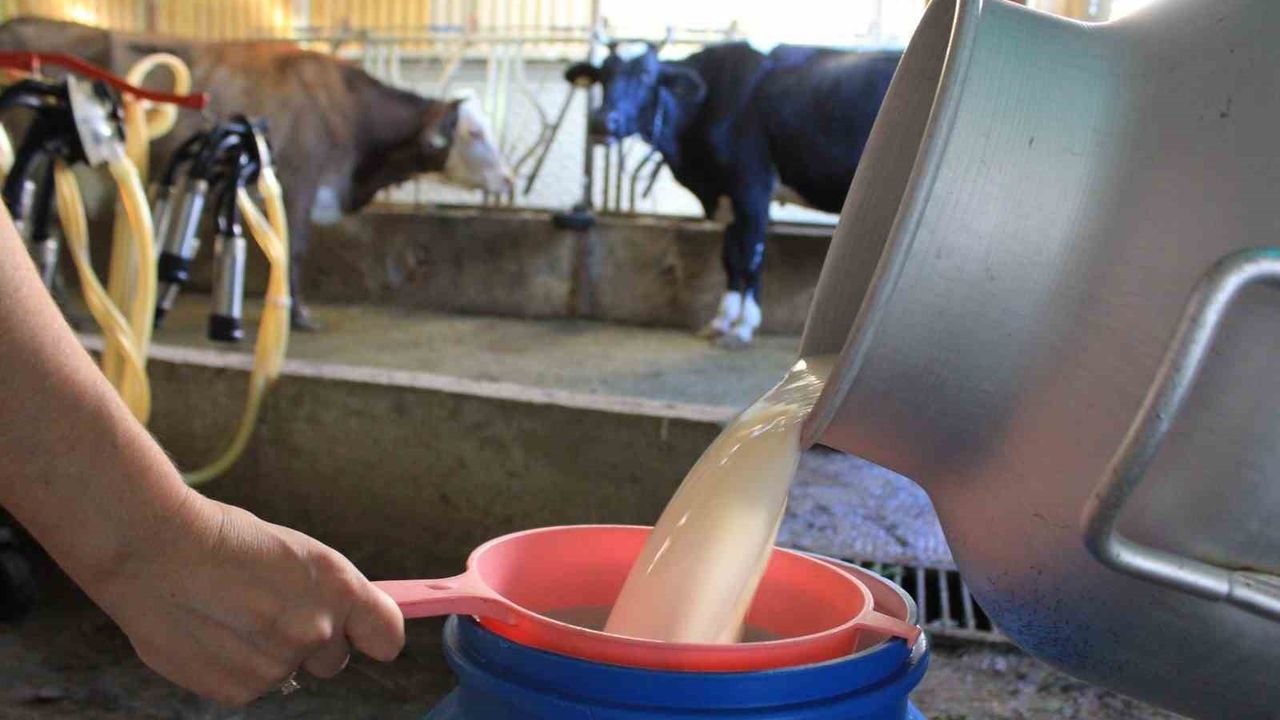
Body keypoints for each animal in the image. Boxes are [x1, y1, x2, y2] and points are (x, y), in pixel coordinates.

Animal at [590, 40, 901, 347]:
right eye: (603, 74)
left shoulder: (751, 187)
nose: (603, 122)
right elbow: (730, 258)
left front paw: (743, 327)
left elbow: (751, 257)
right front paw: (721, 321)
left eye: (645, 74)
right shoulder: (728, 197)